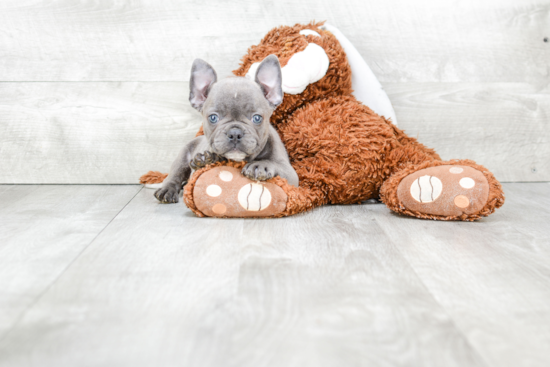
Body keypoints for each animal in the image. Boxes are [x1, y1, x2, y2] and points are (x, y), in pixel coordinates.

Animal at [155, 54, 300, 204]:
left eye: (257, 118)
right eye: (213, 118)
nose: (235, 133)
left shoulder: (290, 174)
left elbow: (274, 164)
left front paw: (259, 165)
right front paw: (205, 160)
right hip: (182, 157)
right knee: (175, 174)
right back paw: (168, 189)